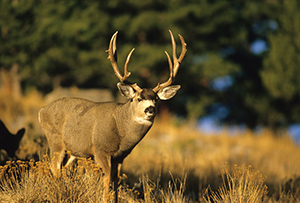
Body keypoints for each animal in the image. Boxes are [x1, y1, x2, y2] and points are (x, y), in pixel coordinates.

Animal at [38, 29, 186, 202]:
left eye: (156, 99)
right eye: (138, 98)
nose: (150, 109)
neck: (122, 132)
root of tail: (41, 111)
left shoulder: (120, 157)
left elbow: (116, 181)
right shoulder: (101, 150)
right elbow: (107, 179)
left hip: (72, 150)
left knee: (64, 168)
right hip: (55, 140)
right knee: (54, 167)